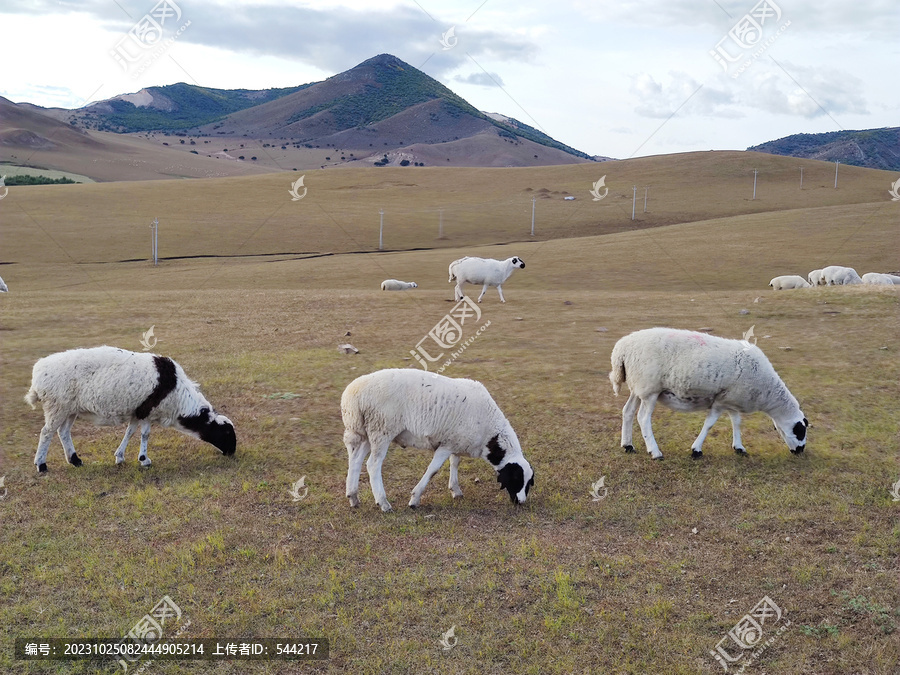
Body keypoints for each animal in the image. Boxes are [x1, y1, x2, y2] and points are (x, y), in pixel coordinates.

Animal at [25, 348, 236, 476]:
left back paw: (75, 460)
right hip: (57, 406)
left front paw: (120, 456)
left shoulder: (138, 412)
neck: (179, 398)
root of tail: (38, 372)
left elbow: (130, 432)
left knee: (63, 432)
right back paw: (41, 465)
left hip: (69, 409)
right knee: (46, 433)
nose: (232, 453)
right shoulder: (148, 411)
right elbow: (145, 434)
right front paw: (144, 460)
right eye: (226, 433)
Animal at [342, 370, 532, 512]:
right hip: (381, 429)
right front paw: (414, 499)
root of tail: (352, 395)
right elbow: (433, 470)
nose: (521, 502)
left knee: (356, 461)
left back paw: (353, 497)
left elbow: (455, 463)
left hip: (367, 432)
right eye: (516, 478)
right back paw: (383, 503)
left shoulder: (455, 441)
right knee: (373, 465)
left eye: (530, 482)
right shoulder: (445, 446)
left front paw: (455, 490)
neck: (489, 433)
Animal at [612, 328, 808, 460]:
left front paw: (739, 447)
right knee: (643, 418)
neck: (767, 391)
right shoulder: (720, 402)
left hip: (638, 388)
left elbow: (736, 422)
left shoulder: (731, 399)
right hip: (650, 389)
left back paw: (628, 445)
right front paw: (696, 450)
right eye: (800, 431)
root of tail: (621, 349)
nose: (800, 451)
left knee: (627, 412)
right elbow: (709, 424)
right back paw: (655, 451)